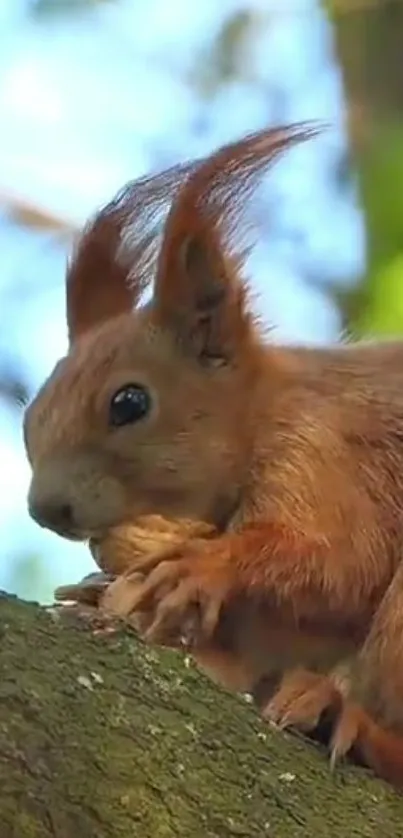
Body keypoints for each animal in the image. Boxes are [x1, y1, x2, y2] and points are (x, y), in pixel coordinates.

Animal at [22, 120, 403, 796]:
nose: (45, 509)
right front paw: (105, 592)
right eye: (33, 410)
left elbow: (342, 560)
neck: (260, 412)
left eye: (128, 402)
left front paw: (203, 565)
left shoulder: (324, 454)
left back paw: (346, 717)